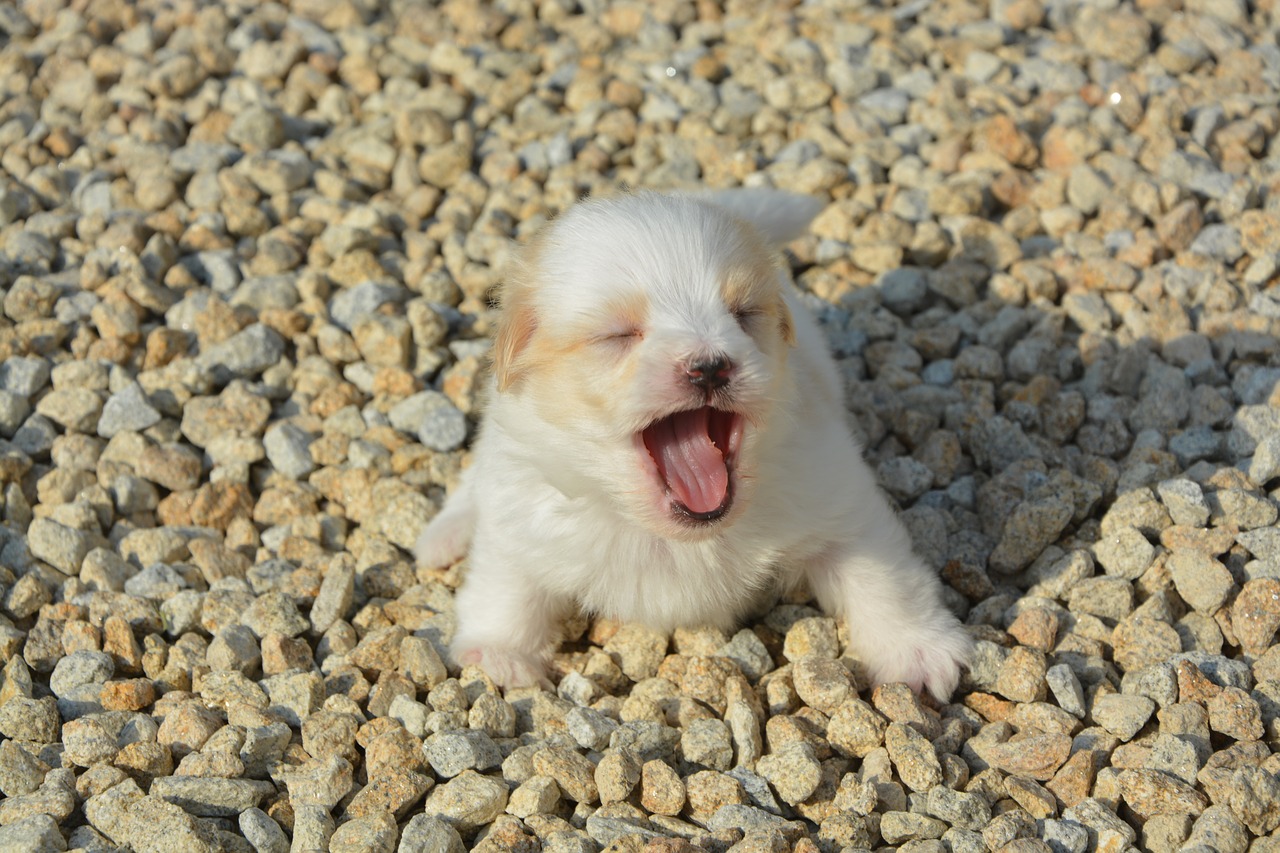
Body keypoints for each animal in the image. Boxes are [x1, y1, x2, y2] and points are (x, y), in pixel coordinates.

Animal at [417, 189, 967, 701]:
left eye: (743, 315)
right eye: (619, 335)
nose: (709, 367)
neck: (678, 541)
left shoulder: (839, 494)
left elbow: (885, 578)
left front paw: (917, 652)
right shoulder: (523, 509)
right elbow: (507, 583)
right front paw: (500, 655)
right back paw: (443, 536)